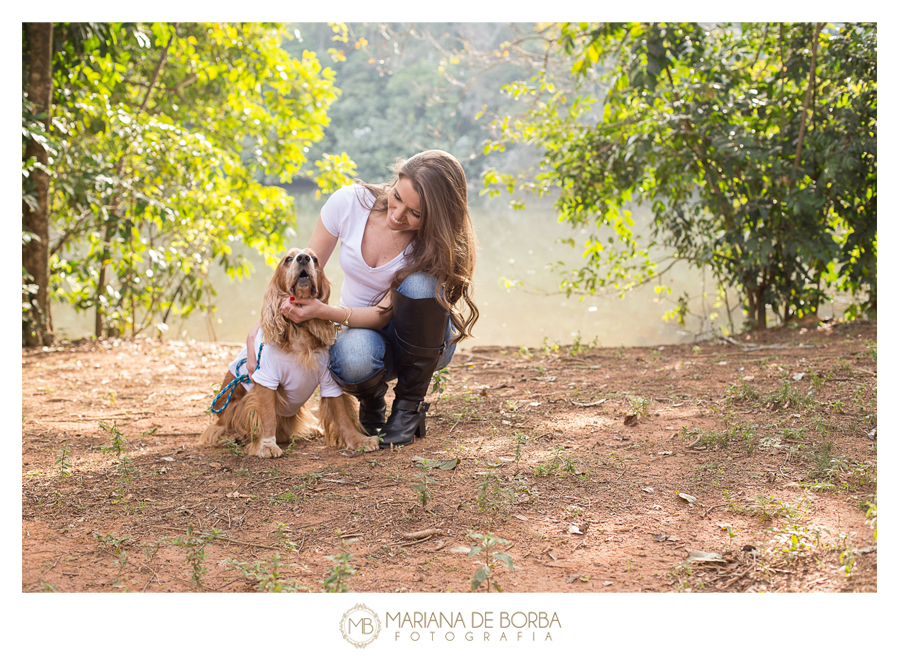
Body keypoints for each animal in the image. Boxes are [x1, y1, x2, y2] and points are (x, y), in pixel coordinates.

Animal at [200, 246, 376, 456]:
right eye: (288, 259)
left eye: (315, 259)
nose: (303, 258)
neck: (299, 330)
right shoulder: (266, 379)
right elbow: (267, 415)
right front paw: (267, 446)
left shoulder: (329, 379)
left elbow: (342, 414)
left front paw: (358, 440)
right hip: (235, 410)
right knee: (218, 429)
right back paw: (236, 435)